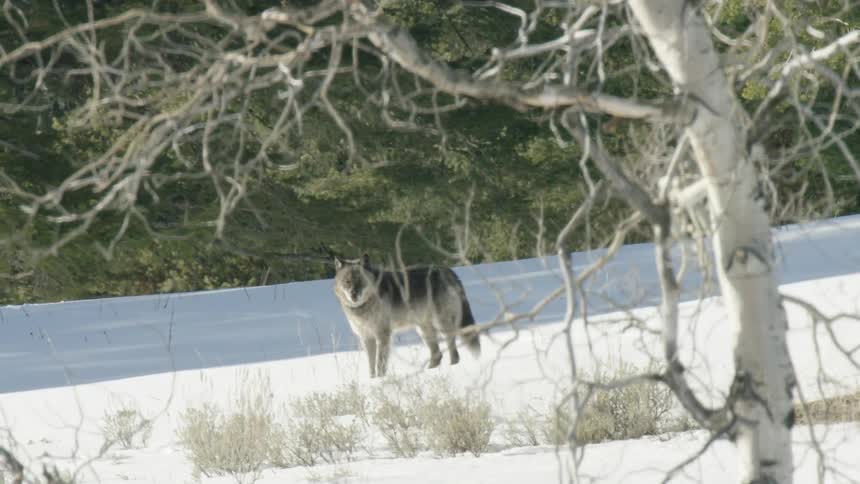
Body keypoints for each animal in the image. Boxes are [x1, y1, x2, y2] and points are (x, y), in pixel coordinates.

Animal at [333, 254, 481, 378]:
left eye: (360, 281)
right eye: (347, 282)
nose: (353, 295)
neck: (365, 305)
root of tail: (449, 271)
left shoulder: (383, 335)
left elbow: (380, 364)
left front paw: (381, 379)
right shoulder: (366, 338)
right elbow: (371, 365)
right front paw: (372, 380)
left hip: (441, 325)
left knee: (453, 350)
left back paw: (451, 368)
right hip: (423, 331)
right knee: (437, 354)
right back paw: (429, 371)